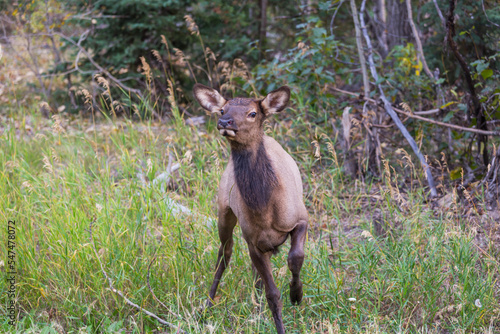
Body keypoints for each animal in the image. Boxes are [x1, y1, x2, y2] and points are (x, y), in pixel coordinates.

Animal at [192, 84, 306, 334]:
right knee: (224, 254)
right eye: (222, 109)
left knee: (253, 271)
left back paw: (256, 306)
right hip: (224, 211)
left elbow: (295, 257)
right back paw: (208, 305)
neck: (266, 210)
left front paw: (296, 294)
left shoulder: (301, 218)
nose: (225, 121)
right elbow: (273, 294)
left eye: (253, 113)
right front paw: (280, 322)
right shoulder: (253, 240)